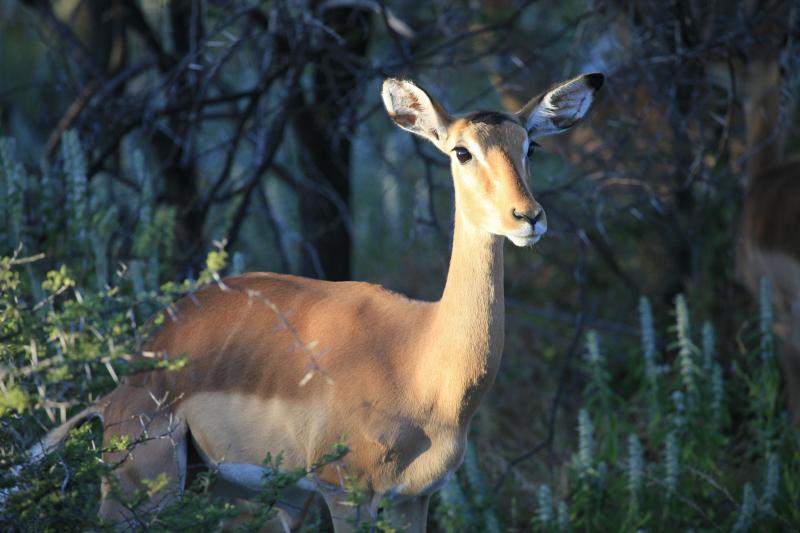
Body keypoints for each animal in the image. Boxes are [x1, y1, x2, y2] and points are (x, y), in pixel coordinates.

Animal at [23, 73, 603, 531]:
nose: (528, 217)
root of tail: (127, 378)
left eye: (530, 146)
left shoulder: (413, 500)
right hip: (143, 493)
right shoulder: (344, 493)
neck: (420, 361)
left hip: (242, 494)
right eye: (462, 150)